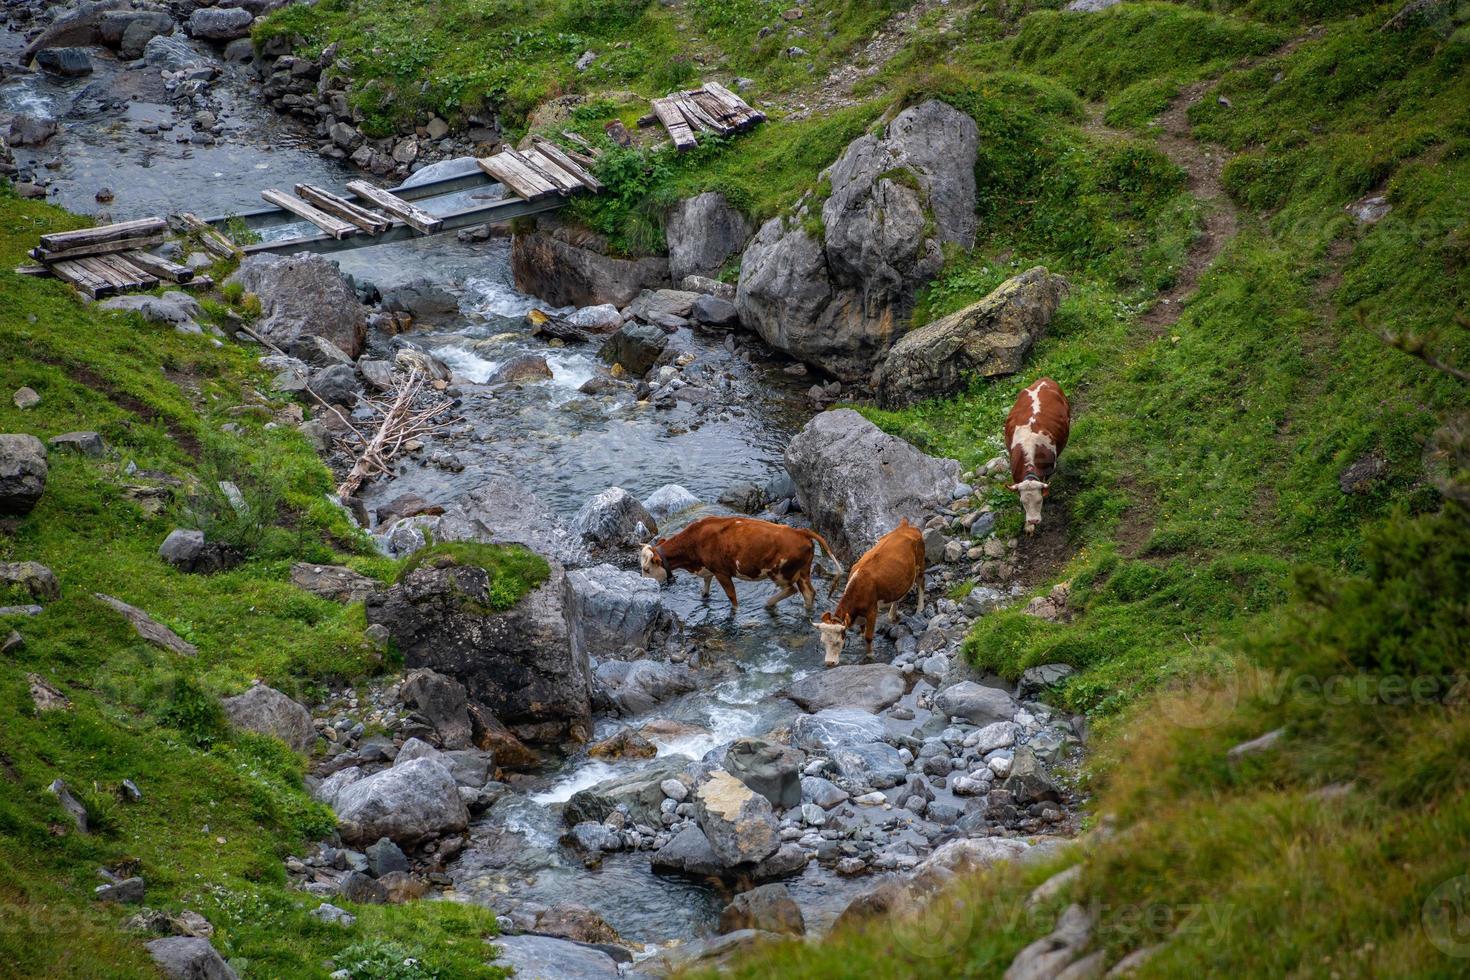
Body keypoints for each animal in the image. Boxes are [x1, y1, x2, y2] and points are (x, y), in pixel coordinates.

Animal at [637, 514, 846, 614]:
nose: (645, 585)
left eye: (646, 569)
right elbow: (705, 592)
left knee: (793, 589)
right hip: (802, 571)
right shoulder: (708, 570)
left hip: (779, 572)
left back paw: (769, 604)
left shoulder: (722, 572)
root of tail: (800, 531)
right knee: (809, 593)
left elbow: (733, 598)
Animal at [811, 520, 923, 667]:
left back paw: (920, 608)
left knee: (921, 583)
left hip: (921, 563)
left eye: (837, 642)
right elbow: (862, 629)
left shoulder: (872, 611)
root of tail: (905, 526)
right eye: (823, 642)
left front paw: (870, 655)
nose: (829, 663)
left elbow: (868, 637)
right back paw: (892, 615)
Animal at [1005, 379, 1076, 537]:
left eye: (1039, 501)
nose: (1034, 520)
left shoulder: (1049, 470)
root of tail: (1045, 380)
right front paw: (1028, 526)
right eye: (1023, 502)